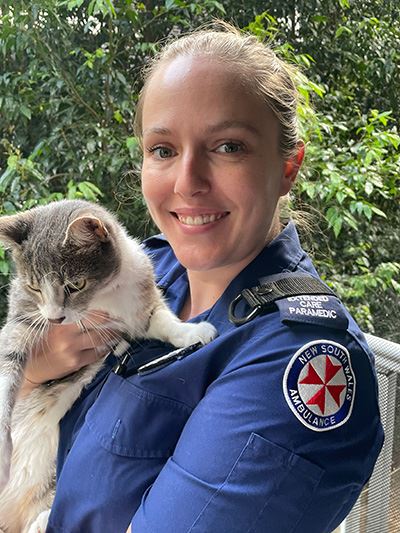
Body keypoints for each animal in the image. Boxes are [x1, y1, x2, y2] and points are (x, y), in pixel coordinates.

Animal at [0, 200, 217, 532]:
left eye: (75, 284)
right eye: (34, 287)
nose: (55, 318)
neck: (100, 300)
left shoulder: (140, 302)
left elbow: (162, 320)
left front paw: (191, 332)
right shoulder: (21, 320)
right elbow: (7, 369)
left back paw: (41, 520)